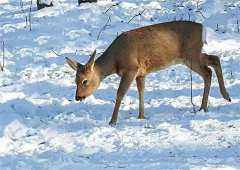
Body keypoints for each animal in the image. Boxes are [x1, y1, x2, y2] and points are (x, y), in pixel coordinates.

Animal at [65, 20, 231, 125]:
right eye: (75, 80)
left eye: (85, 81)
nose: (78, 97)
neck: (115, 60)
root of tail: (203, 28)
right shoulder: (141, 73)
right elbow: (141, 91)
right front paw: (141, 116)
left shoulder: (131, 68)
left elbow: (120, 93)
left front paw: (112, 121)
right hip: (193, 55)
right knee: (214, 59)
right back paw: (223, 97)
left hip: (191, 55)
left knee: (208, 71)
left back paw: (207, 105)